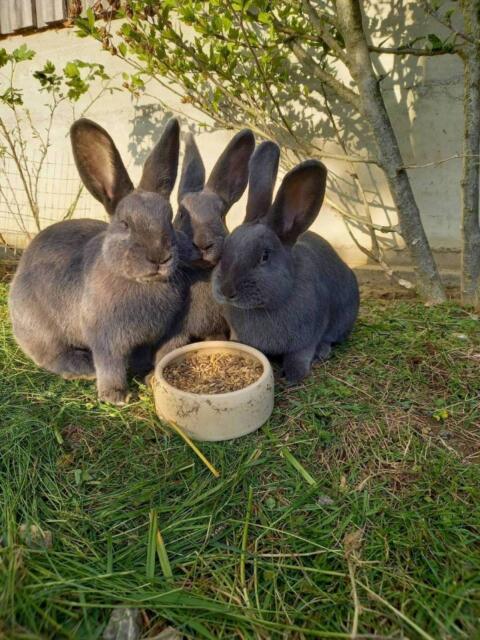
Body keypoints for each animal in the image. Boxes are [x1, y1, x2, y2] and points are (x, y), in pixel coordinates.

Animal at [9, 117, 193, 405]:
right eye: (125, 224)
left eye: (169, 219)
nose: (159, 257)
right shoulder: (107, 340)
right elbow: (111, 366)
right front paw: (116, 396)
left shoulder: (166, 335)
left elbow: (160, 355)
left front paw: (151, 377)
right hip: (40, 328)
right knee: (51, 355)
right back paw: (83, 368)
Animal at [211, 141, 360, 383]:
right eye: (226, 248)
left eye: (264, 256)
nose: (226, 290)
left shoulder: (306, 338)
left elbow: (300, 355)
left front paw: (292, 376)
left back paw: (323, 351)